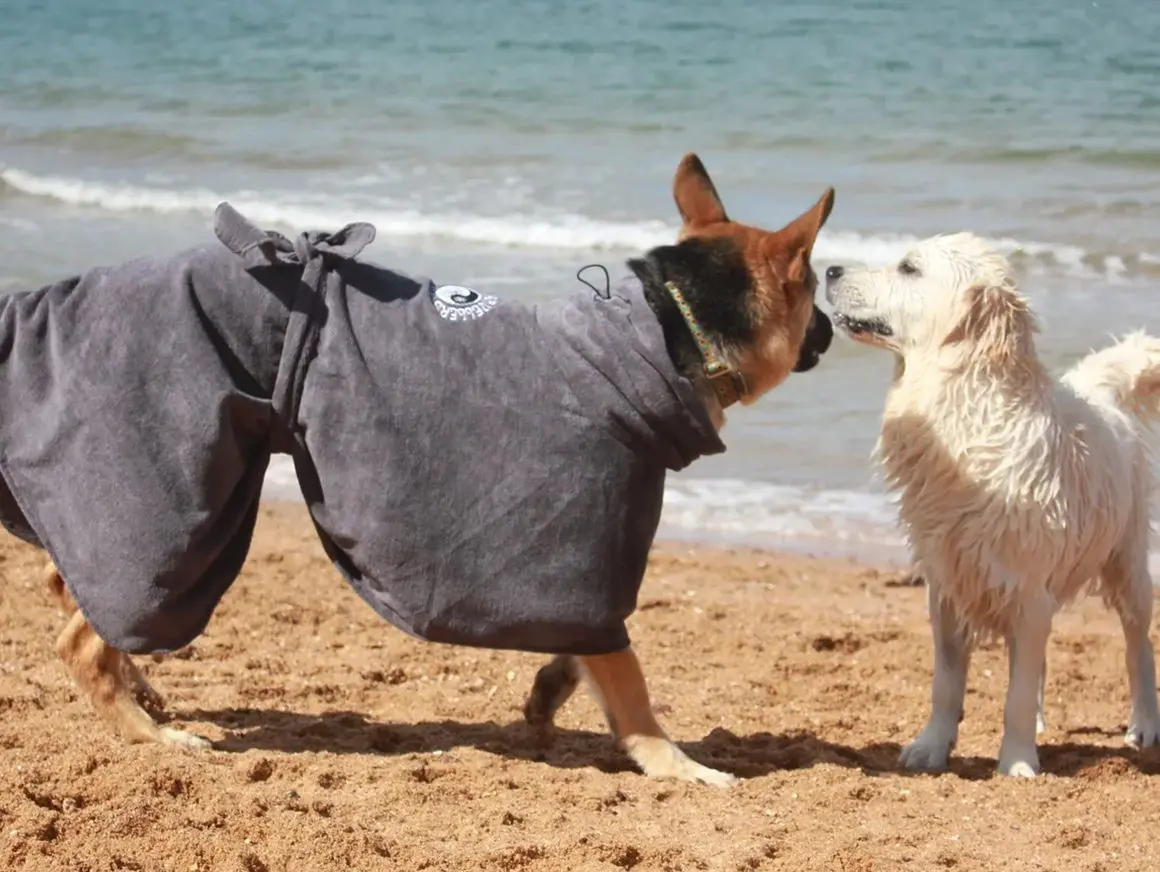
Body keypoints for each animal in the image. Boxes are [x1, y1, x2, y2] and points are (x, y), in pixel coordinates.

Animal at [29, 155, 835, 788]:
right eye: (813, 291)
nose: (831, 330)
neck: (667, 329)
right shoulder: (593, 557)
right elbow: (629, 680)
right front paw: (674, 762)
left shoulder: (576, 585)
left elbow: (584, 653)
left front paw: (551, 691)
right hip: (179, 513)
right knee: (83, 639)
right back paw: (149, 734)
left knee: (75, 593)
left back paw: (142, 687)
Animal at [825, 233, 1160, 774]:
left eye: (909, 268)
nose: (830, 270)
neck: (965, 403)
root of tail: (1102, 396)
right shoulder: (948, 583)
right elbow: (947, 684)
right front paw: (931, 747)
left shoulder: (1026, 589)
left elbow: (1016, 696)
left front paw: (1018, 763)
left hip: (1126, 563)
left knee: (1138, 643)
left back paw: (1144, 723)